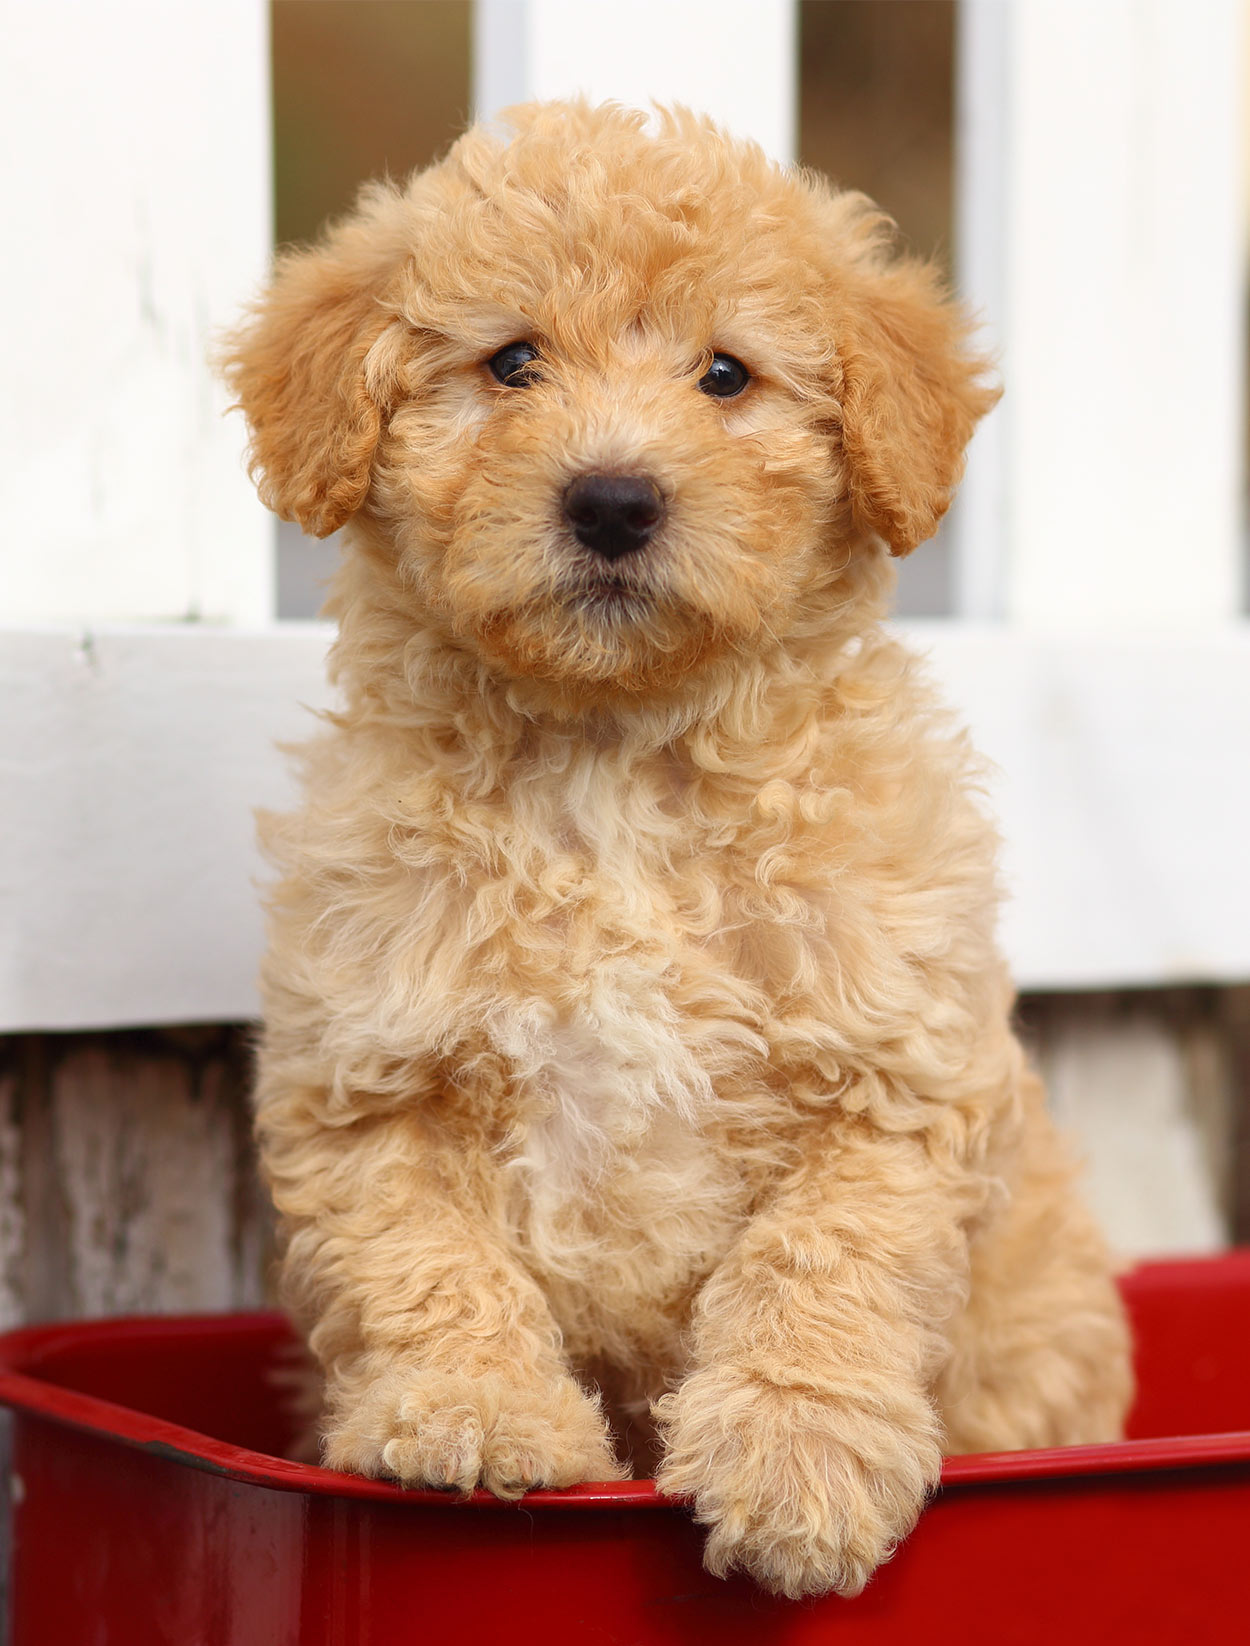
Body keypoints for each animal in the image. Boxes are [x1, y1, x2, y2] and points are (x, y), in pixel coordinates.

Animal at [225, 99, 1133, 1593]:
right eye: (511, 360)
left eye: (724, 375)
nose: (611, 500)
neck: (616, 768)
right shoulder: (377, 1068)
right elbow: (426, 1252)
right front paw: (477, 1412)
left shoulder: (884, 1073)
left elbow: (821, 1265)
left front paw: (794, 1459)